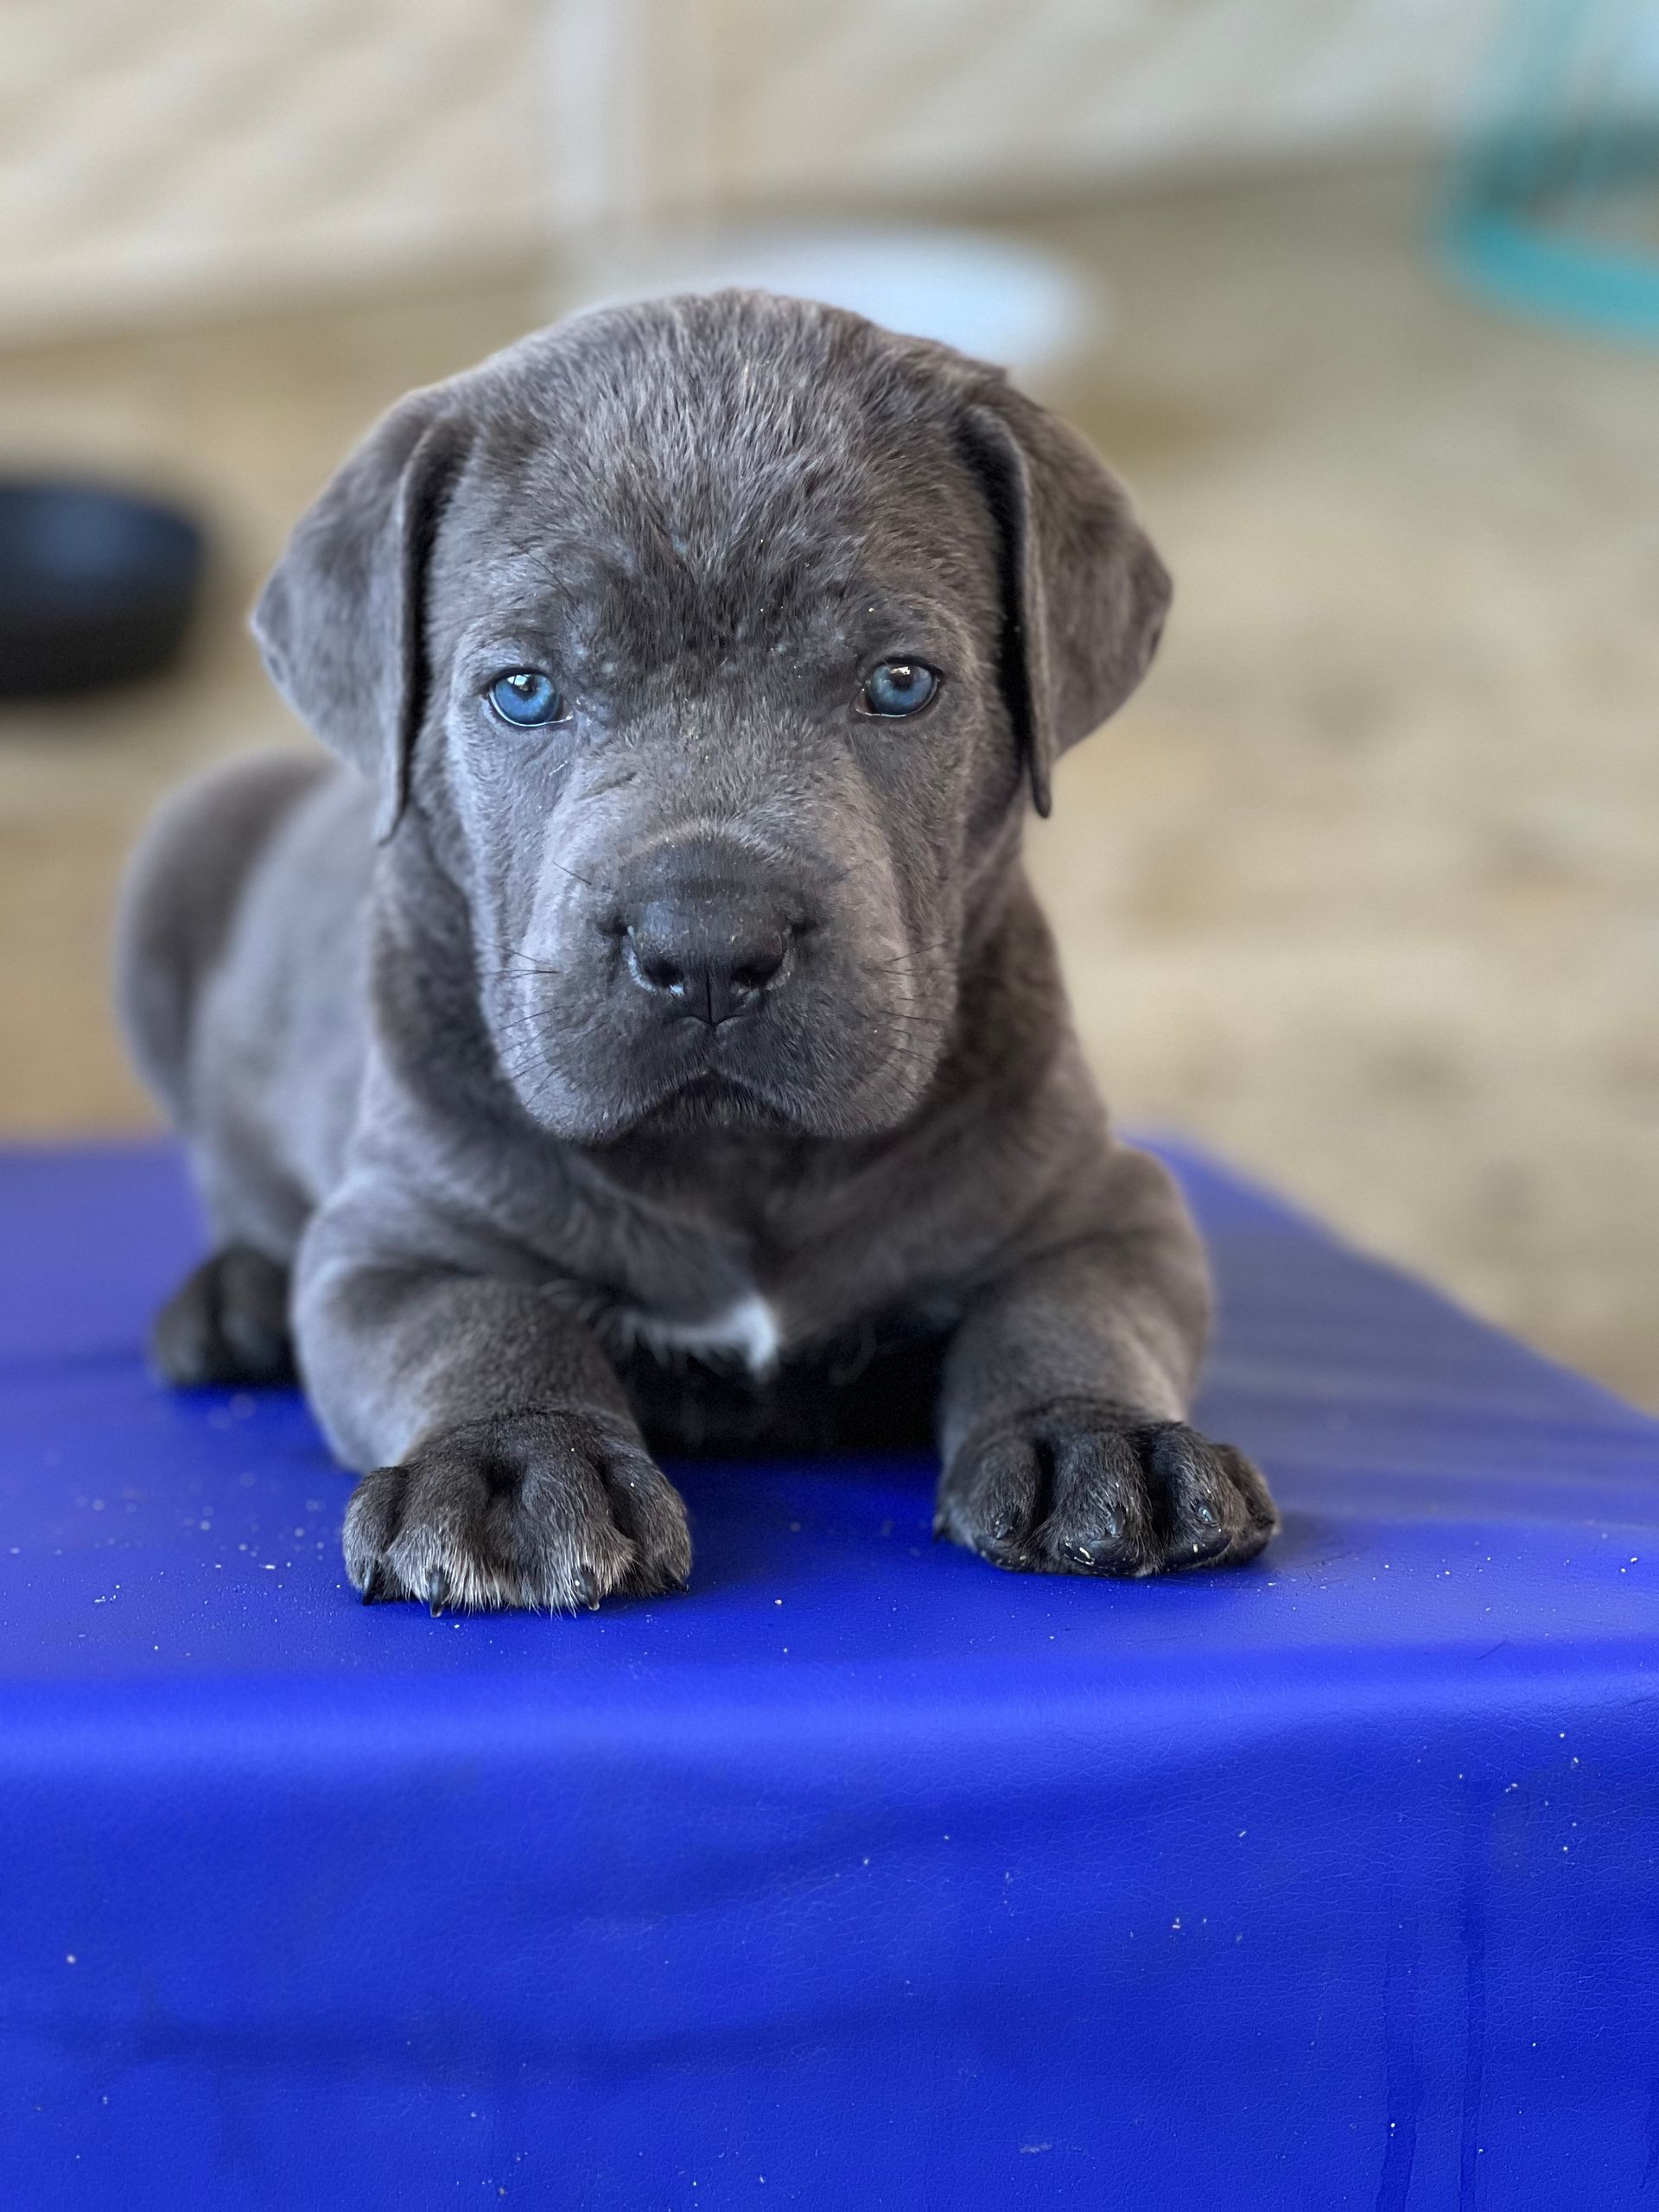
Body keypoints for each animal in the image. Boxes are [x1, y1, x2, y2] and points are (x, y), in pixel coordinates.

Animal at [116, 290, 1278, 1612]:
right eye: (523, 691)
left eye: (900, 683)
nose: (710, 947)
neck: (736, 1154)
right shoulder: (404, 1240)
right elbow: (483, 1329)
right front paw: (515, 1465)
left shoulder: (1101, 1202)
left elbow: (1070, 1310)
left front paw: (1097, 1439)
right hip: (185, 853)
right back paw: (235, 1300)